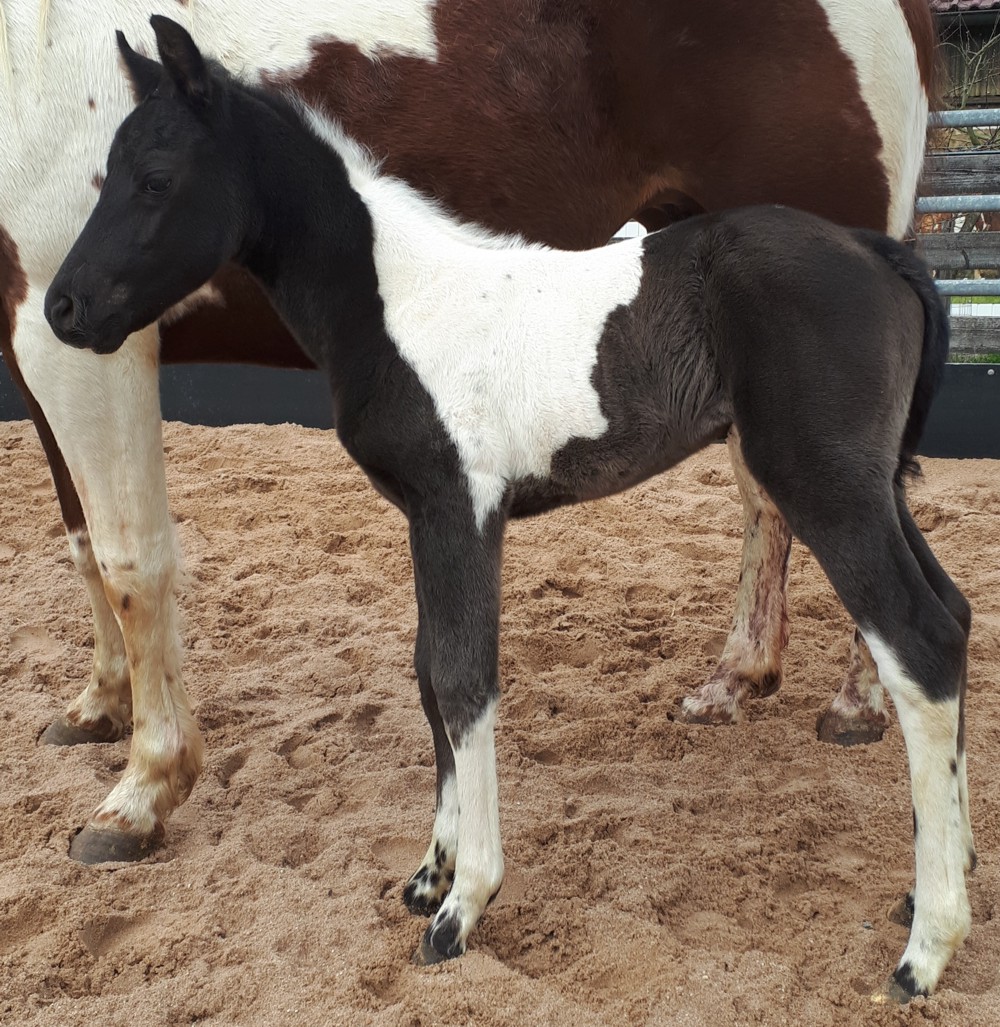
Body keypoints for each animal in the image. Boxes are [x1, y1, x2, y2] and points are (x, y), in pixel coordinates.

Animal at [44, 17, 973, 1002]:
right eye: (109, 170)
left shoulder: (461, 509)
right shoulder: (427, 517)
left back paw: (927, 948)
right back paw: (934, 891)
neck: (395, 299)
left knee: (916, 640)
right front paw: (431, 873)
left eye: (154, 178)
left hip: (828, 486)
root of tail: (877, 252)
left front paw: (465, 905)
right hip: (873, 485)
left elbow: (463, 680)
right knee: (951, 616)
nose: (65, 307)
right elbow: (428, 675)